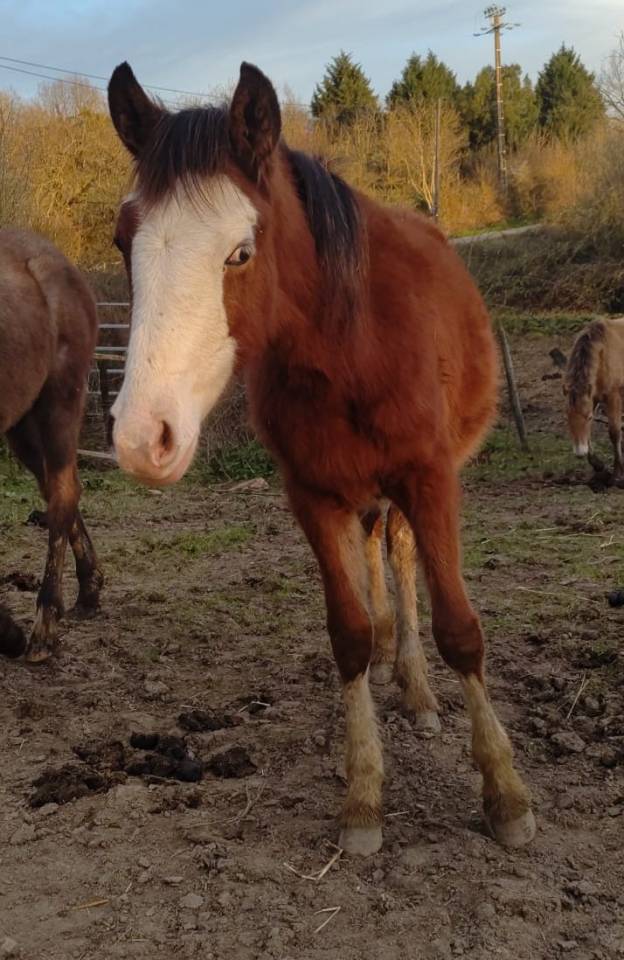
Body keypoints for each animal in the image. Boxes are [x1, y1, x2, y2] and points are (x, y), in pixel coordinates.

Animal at [107, 61, 535, 855]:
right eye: (125, 242)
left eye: (240, 252)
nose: (142, 437)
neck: (351, 344)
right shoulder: (311, 494)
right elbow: (350, 634)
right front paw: (363, 796)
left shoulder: (431, 478)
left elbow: (460, 631)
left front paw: (505, 792)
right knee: (375, 557)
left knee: (401, 557)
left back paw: (418, 690)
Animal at [564, 317, 624, 480]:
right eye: (567, 418)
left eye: (589, 417)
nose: (580, 453)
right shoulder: (593, 398)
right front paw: (598, 465)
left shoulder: (614, 397)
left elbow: (614, 432)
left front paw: (618, 472)